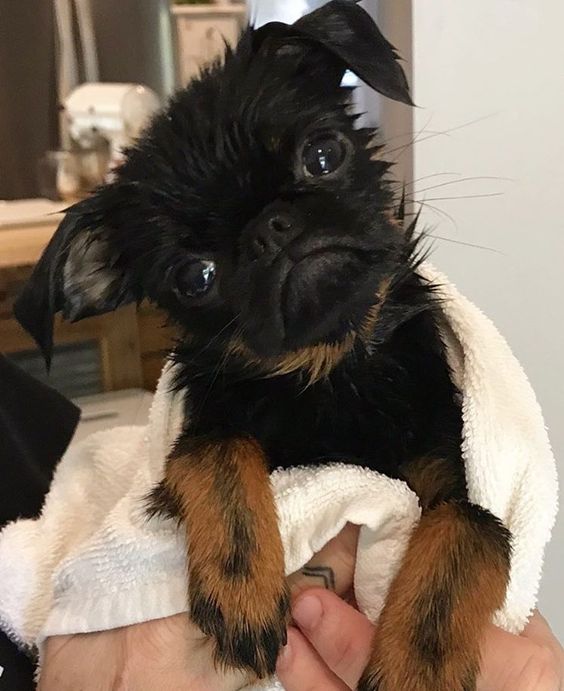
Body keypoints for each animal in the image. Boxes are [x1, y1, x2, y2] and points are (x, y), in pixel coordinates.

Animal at [16, 1, 512, 691]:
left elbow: (470, 529)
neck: (331, 372)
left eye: (323, 156)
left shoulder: (451, 478)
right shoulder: (202, 432)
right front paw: (241, 586)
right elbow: (218, 453)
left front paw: (421, 664)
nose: (270, 230)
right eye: (196, 277)